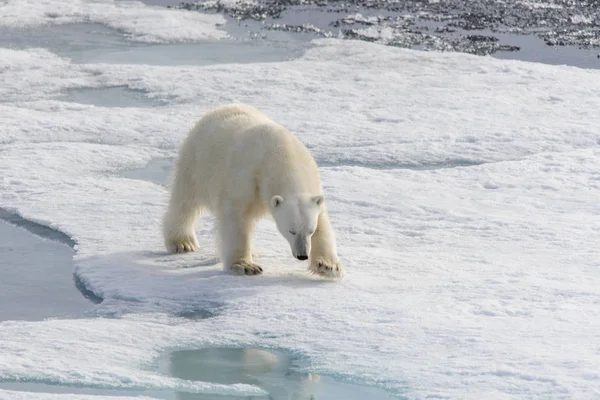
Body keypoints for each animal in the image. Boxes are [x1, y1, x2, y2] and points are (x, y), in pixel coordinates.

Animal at [163, 103, 342, 278]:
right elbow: (235, 217)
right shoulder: (245, 177)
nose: (302, 255)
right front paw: (245, 266)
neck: (282, 156)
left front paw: (328, 266)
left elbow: (323, 222)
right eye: (291, 231)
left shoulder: (313, 185)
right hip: (197, 163)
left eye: (310, 230)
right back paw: (183, 242)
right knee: (185, 202)